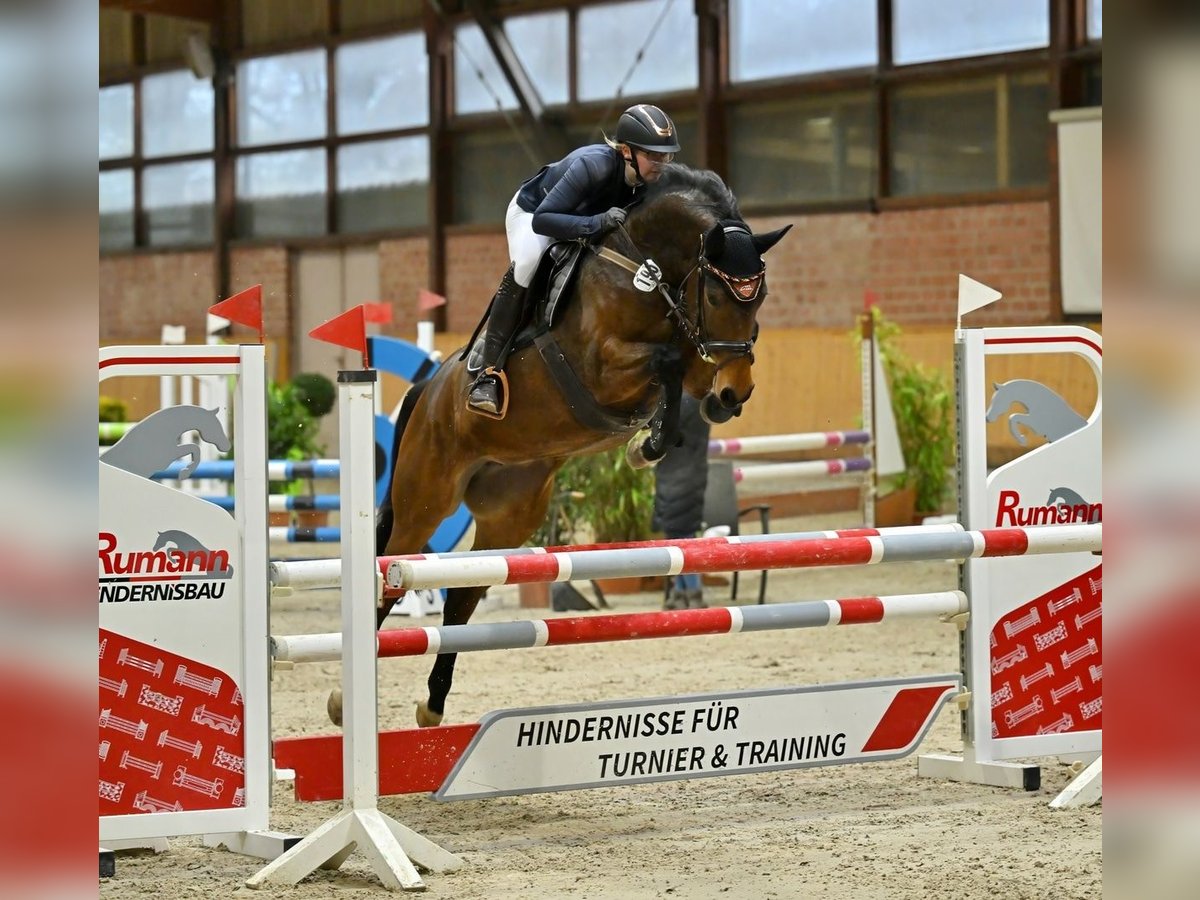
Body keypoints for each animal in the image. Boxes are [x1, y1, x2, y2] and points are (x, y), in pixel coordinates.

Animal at [333, 165, 792, 729]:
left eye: (760, 297)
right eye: (717, 297)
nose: (736, 393)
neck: (644, 266)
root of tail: (427, 389)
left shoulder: (693, 355)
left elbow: (682, 369)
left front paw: (660, 436)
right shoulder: (603, 368)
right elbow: (663, 362)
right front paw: (649, 444)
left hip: (510, 513)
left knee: (463, 596)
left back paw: (433, 704)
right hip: (426, 497)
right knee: (392, 573)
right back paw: (343, 701)